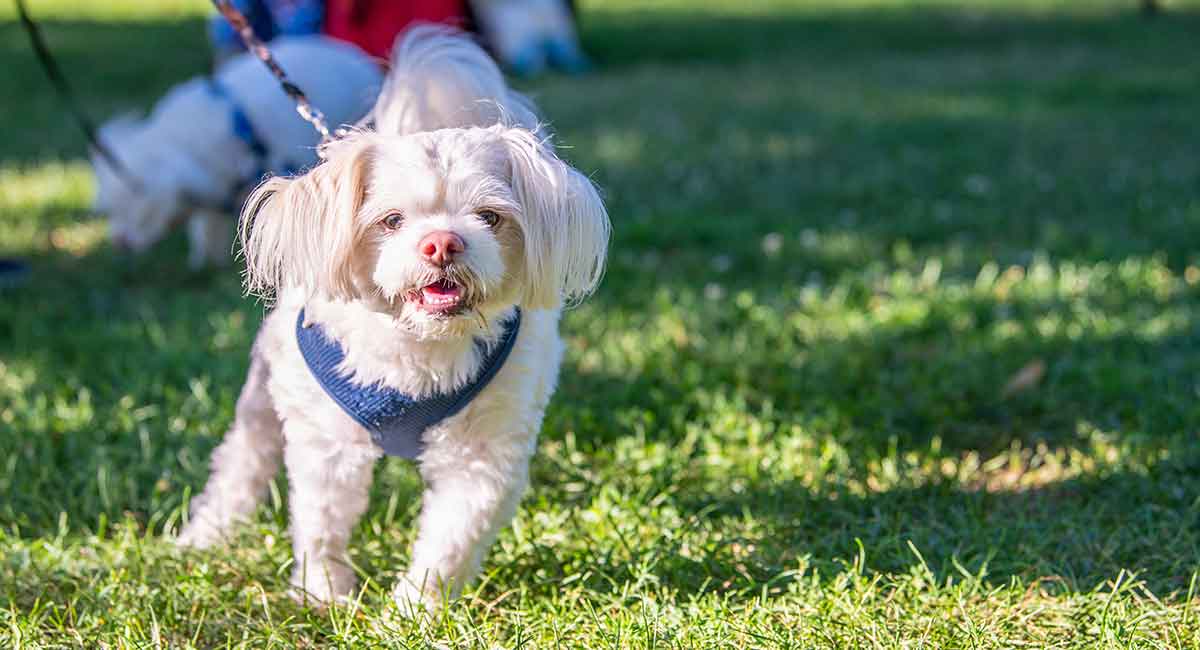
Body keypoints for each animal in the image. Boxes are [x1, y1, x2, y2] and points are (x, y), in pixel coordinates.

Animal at [177, 26, 609, 618]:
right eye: (392, 220)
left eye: (489, 217)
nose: (442, 242)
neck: (419, 349)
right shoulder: (327, 444)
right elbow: (321, 524)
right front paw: (324, 594)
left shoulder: (481, 458)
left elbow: (450, 541)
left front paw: (414, 610)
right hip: (265, 393)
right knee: (242, 461)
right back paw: (208, 534)